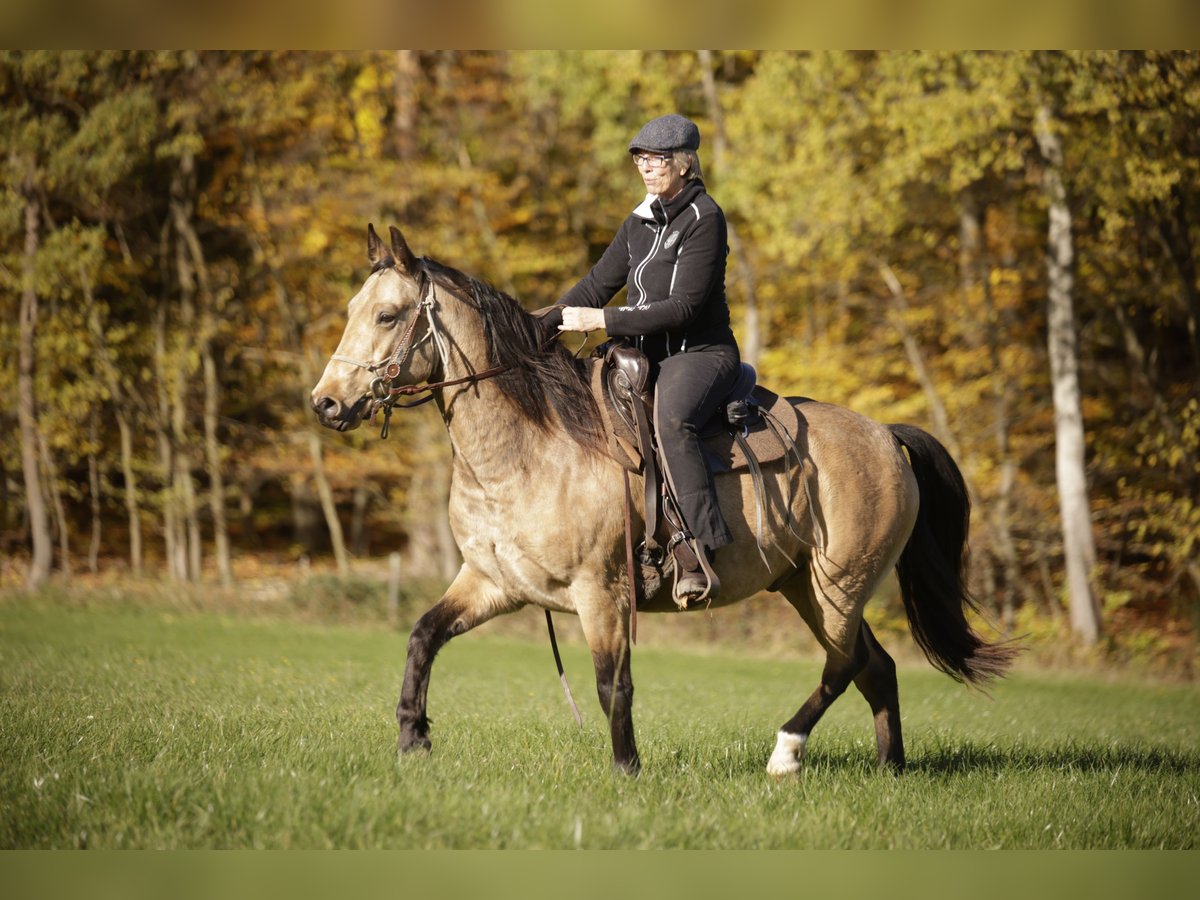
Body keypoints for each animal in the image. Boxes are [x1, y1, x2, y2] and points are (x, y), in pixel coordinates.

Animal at [311, 224, 1016, 776]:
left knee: (844, 665)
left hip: (838, 585)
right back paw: (891, 768)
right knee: (876, 667)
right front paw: (413, 740)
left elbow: (611, 684)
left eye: (387, 315)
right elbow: (422, 637)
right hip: (804, 586)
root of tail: (886, 437)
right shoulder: (492, 582)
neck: (528, 451)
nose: (326, 403)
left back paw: (786, 753)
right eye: (351, 307)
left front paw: (627, 770)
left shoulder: (602, 592)